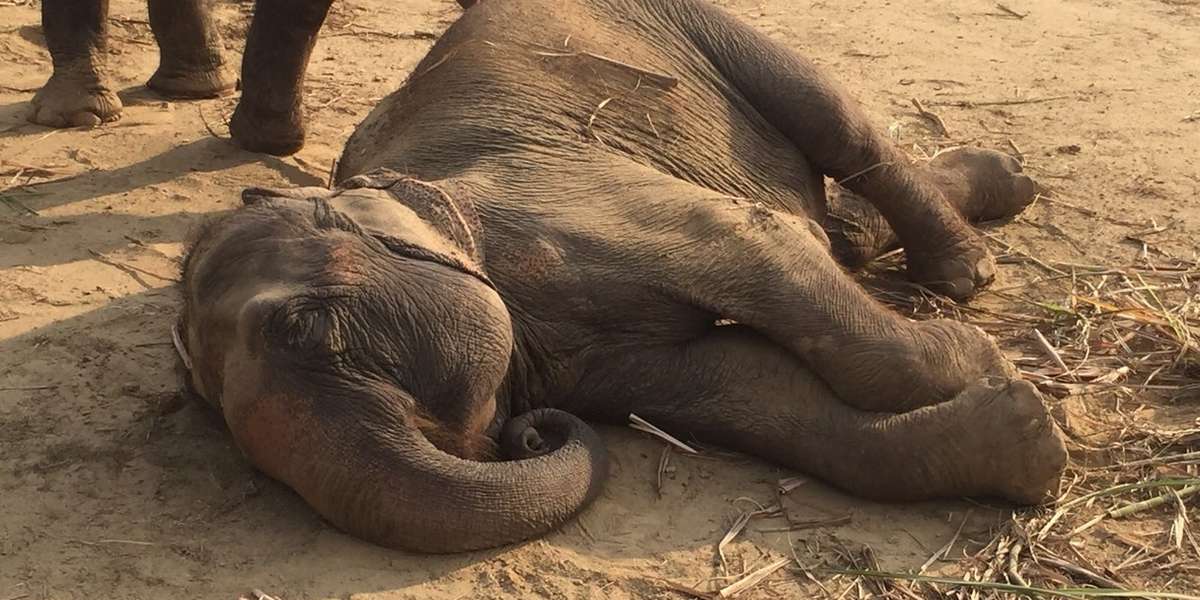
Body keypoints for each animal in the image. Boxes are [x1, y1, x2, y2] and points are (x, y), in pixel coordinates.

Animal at [176, 0, 1069, 554]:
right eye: (208, 410)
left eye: (304, 329)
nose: (532, 432)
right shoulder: (590, 354)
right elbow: (754, 393)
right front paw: (1025, 443)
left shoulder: (574, 208)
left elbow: (764, 247)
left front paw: (982, 364)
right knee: (840, 227)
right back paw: (1002, 189)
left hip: (697, 24)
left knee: (837, 126)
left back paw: (967, 271)